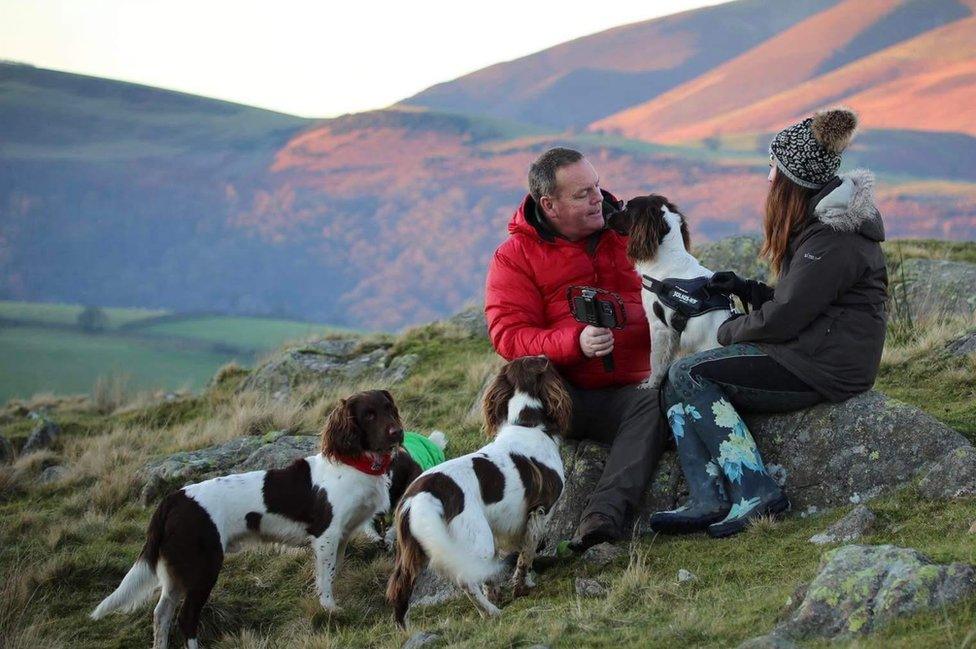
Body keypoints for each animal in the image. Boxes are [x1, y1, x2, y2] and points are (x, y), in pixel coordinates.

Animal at [87, 390, 416, 648]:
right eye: (368, 415)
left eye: (389, 409)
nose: (397, 433)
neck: (355, 464)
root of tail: (174, 499)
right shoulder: (326, 535)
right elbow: (325, 579)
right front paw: (329, 608)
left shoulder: (342, 537)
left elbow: (332, 573)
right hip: (204, 566)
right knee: (186, 617)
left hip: (178, 570)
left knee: (161, 614)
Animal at [386, 354, 572, 628]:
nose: (547, 355)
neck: (527, 425)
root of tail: (420, 496)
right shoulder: (539, 512)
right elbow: (526, 555)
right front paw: (520, 588)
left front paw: (502, 591)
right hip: (476, 538)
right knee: (465, 579)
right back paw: (490, 612)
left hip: (411, 550)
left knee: (399, 586)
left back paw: (405, 630)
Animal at [608, 195, 736, 388]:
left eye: (627, 208)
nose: (608, 216)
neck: (667, 257)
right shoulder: (674, 332)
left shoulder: (659, 326)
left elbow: (655, 359)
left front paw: (650, 384)